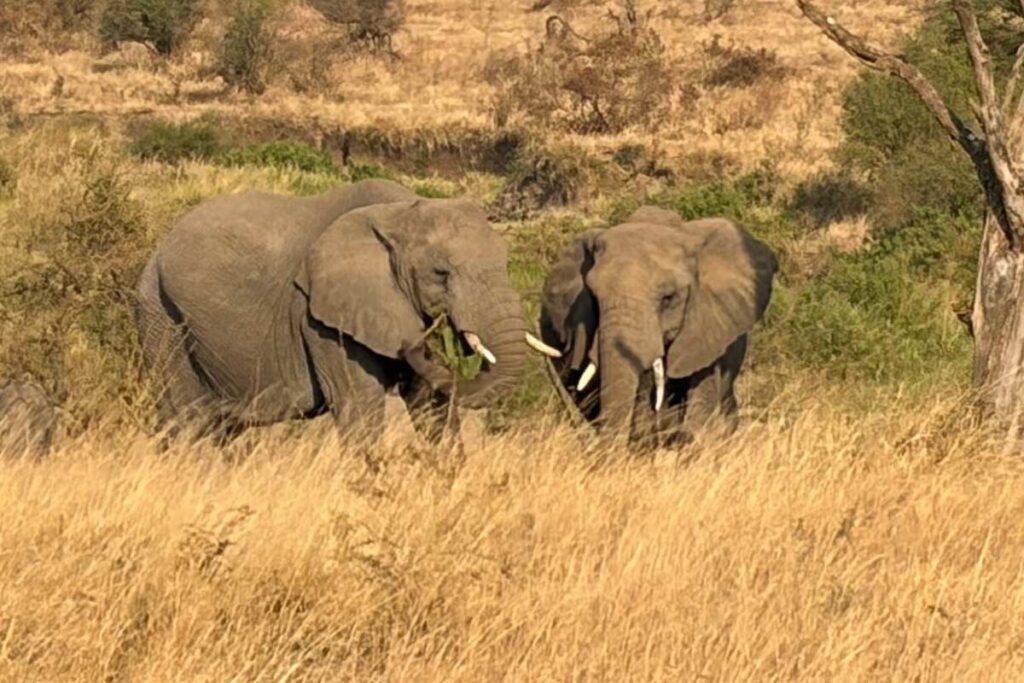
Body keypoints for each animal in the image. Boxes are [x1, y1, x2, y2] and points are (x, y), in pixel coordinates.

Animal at [136, 178, 541, 444]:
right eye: (441, 273)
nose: (420, 342)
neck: (401, 212)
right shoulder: (319, 319)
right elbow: (359, 408)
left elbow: (431, 407)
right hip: (161, 319)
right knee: (187, 425)